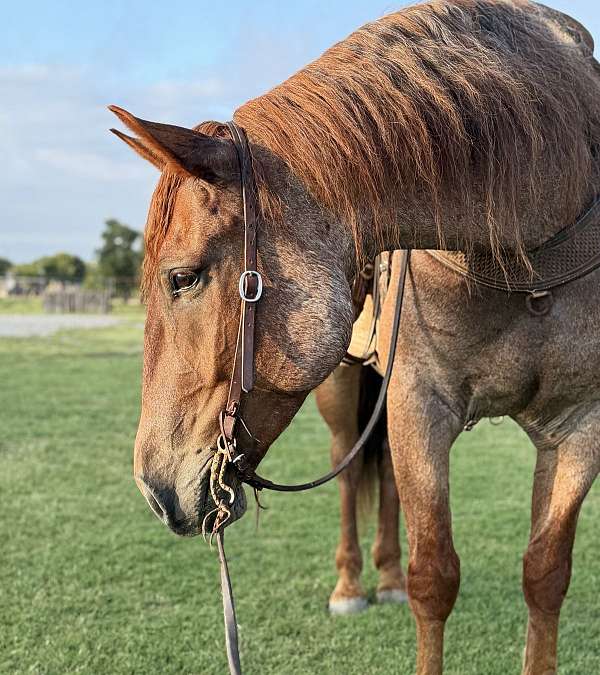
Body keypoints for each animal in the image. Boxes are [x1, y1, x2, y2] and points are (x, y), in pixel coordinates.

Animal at [109, 1, 600, 673]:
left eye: (182, 278)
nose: (155, 489)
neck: (530, 247)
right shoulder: (421, 402)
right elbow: (435, 577)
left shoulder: (579, 423)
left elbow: (545, 575)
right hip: (346, 385)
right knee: (346, 469)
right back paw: (351, 586)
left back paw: (385, 576)